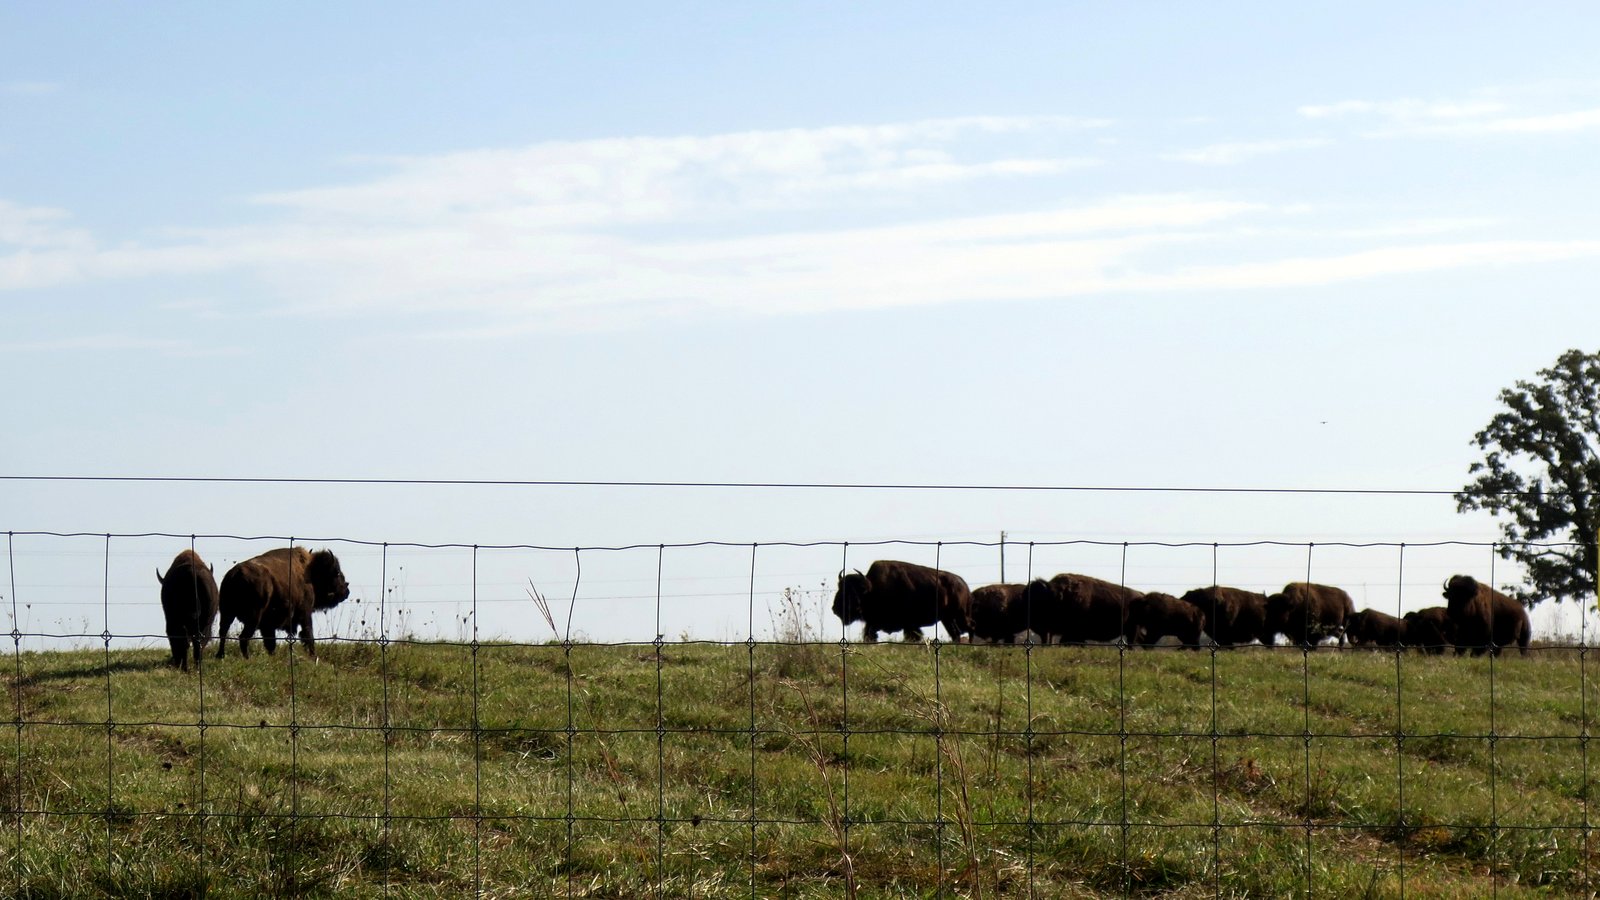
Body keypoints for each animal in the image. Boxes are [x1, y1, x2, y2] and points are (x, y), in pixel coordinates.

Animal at [217, 547, 351, 659]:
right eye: (337, 573)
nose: (346, 591)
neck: (310, 572)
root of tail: (235, 574)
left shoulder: (268, 626)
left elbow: (271, 643)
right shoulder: (305, 614)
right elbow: (308, 636)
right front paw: (313, 657)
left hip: (227, 613)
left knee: (223, 632)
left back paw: (220, 656)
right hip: (253, 617)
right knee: (243, 637)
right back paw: (247, 658)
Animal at [832, 560, 972, 643]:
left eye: (853, 591)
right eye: (839, 588)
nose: (835, 609)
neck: (873, 588)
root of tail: (963, 584)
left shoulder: (910, 624)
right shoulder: (873, 623)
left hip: (959, 615)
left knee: (969, 628)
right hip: (947, 619)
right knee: (955, 633)